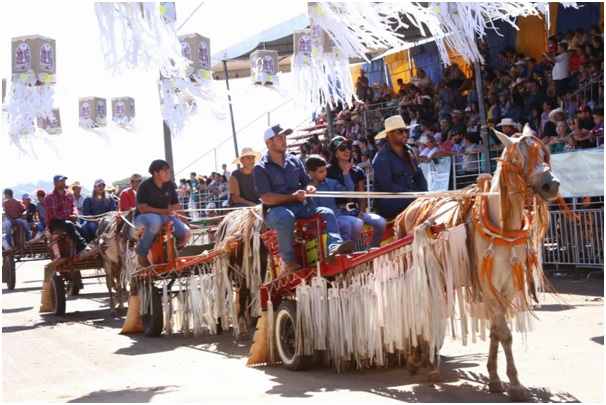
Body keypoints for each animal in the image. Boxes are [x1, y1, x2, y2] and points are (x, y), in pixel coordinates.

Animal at [216, 205, 268, 338]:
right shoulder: (247, 266)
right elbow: (244, 292)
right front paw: (242, 325)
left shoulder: (262, 264)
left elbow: (257, 289)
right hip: (226, 265)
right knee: (222, 292)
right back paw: (219, 324)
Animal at [396, 128, 564, 400]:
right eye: (517, 158)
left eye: (544, 154)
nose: (552, 185)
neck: (502, 227)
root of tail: (411, 207)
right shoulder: (488, 286)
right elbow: (505, 333)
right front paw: (514, 384)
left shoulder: (507, 286)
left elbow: (496, 331)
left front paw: (495, 378)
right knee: (423, 311)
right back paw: (424, 363)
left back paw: (423, 359)